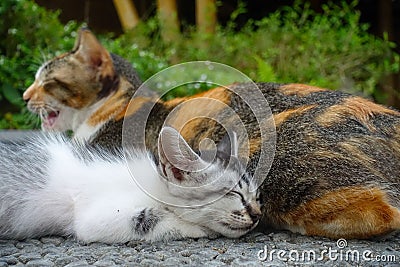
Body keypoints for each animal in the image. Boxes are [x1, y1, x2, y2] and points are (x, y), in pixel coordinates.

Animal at [0, 126, 260, 244]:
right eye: (234, 193)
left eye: (255, 196)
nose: (258, 214)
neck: (152, 185)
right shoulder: (95, 218)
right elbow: (147, 218)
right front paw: (199, 229)